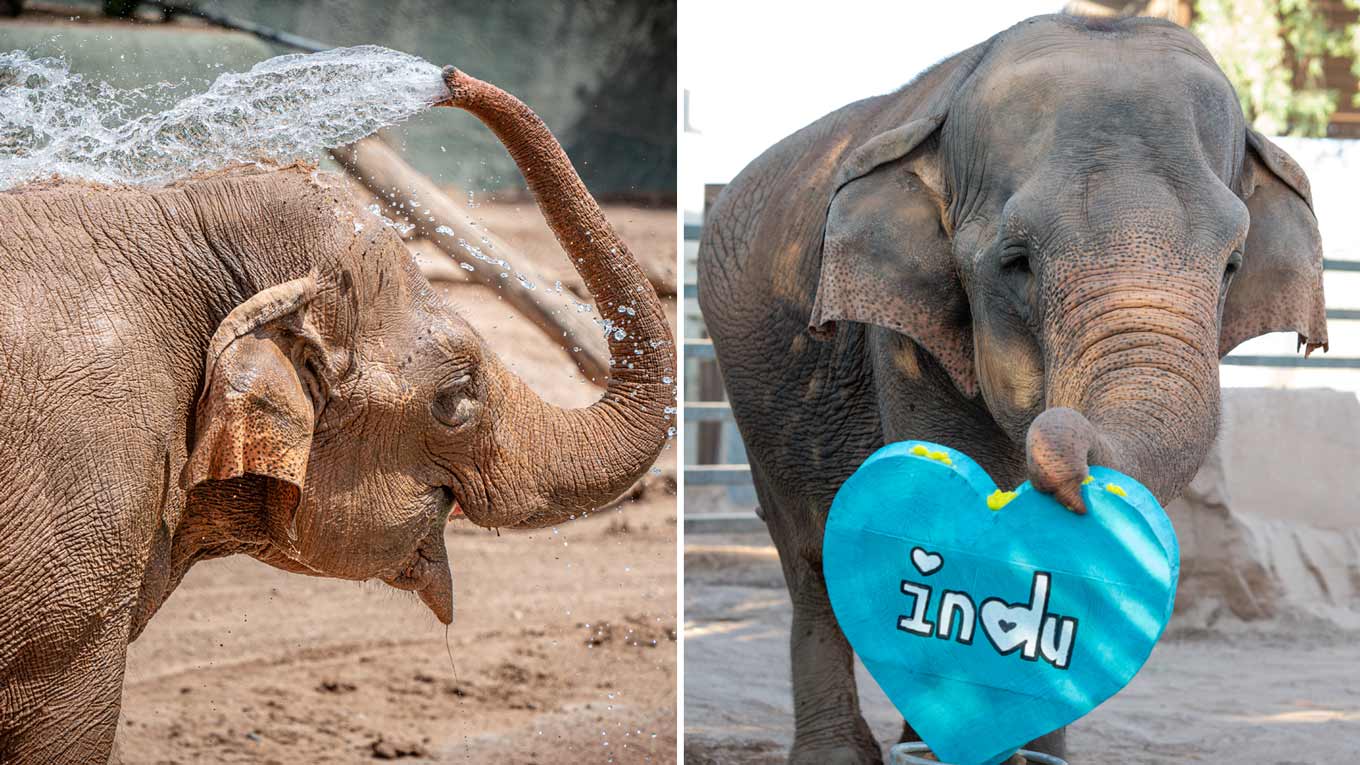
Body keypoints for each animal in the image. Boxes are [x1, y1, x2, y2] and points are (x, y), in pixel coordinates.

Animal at [698, 14, 1326, 764]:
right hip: (749, 386)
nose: (1066, 444)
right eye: (1017, 262)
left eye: (1232, 264)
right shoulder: (907, 339)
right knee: (807, 554)